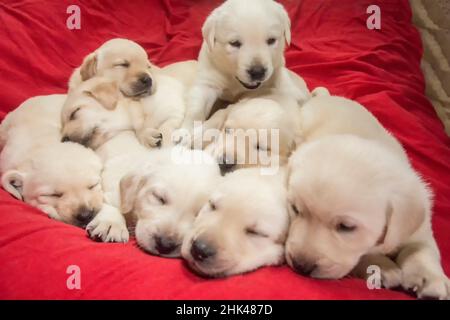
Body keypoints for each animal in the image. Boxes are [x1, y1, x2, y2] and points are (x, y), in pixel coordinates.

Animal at [178, 0, 312, 141]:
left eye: (271, 40)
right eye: (235, 43)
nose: (258, 72)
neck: (234, 80)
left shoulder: (276, 74)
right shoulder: (209, 79)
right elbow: (196, 108)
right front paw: (184, 131)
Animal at [286, 95, 448, 300]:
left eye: (346, 227)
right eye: (295, 209)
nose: (301, 266)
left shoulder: (419, 226)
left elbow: (421, 249)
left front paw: (429, 279)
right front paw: (382, 266)